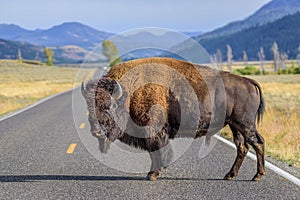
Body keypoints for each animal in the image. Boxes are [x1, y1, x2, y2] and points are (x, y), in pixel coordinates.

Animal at [80, 57, 264, 181]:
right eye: (89, 106)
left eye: (109, 106)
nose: (96, 131)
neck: (129, 92)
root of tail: (247, 81)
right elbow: (155, 152)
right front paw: (154, 172)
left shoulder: (153, 131)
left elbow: (156, 151)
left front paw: (152, 174)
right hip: (235, 126)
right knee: (242, 147)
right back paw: (230, 175)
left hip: (245, 124)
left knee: (257, 143)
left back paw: (257, 176)